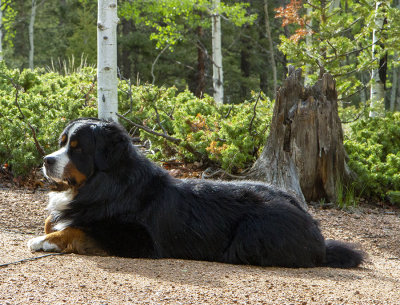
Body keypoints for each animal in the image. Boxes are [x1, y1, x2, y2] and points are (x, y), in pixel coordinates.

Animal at [28, 117, 364, 268]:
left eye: (78, 148)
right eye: (62, 143)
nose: (46, 160)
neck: (108, 186)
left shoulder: (137, 238)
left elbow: (78, 229)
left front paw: (45, 241)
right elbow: (55, 220)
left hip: (254, 232)